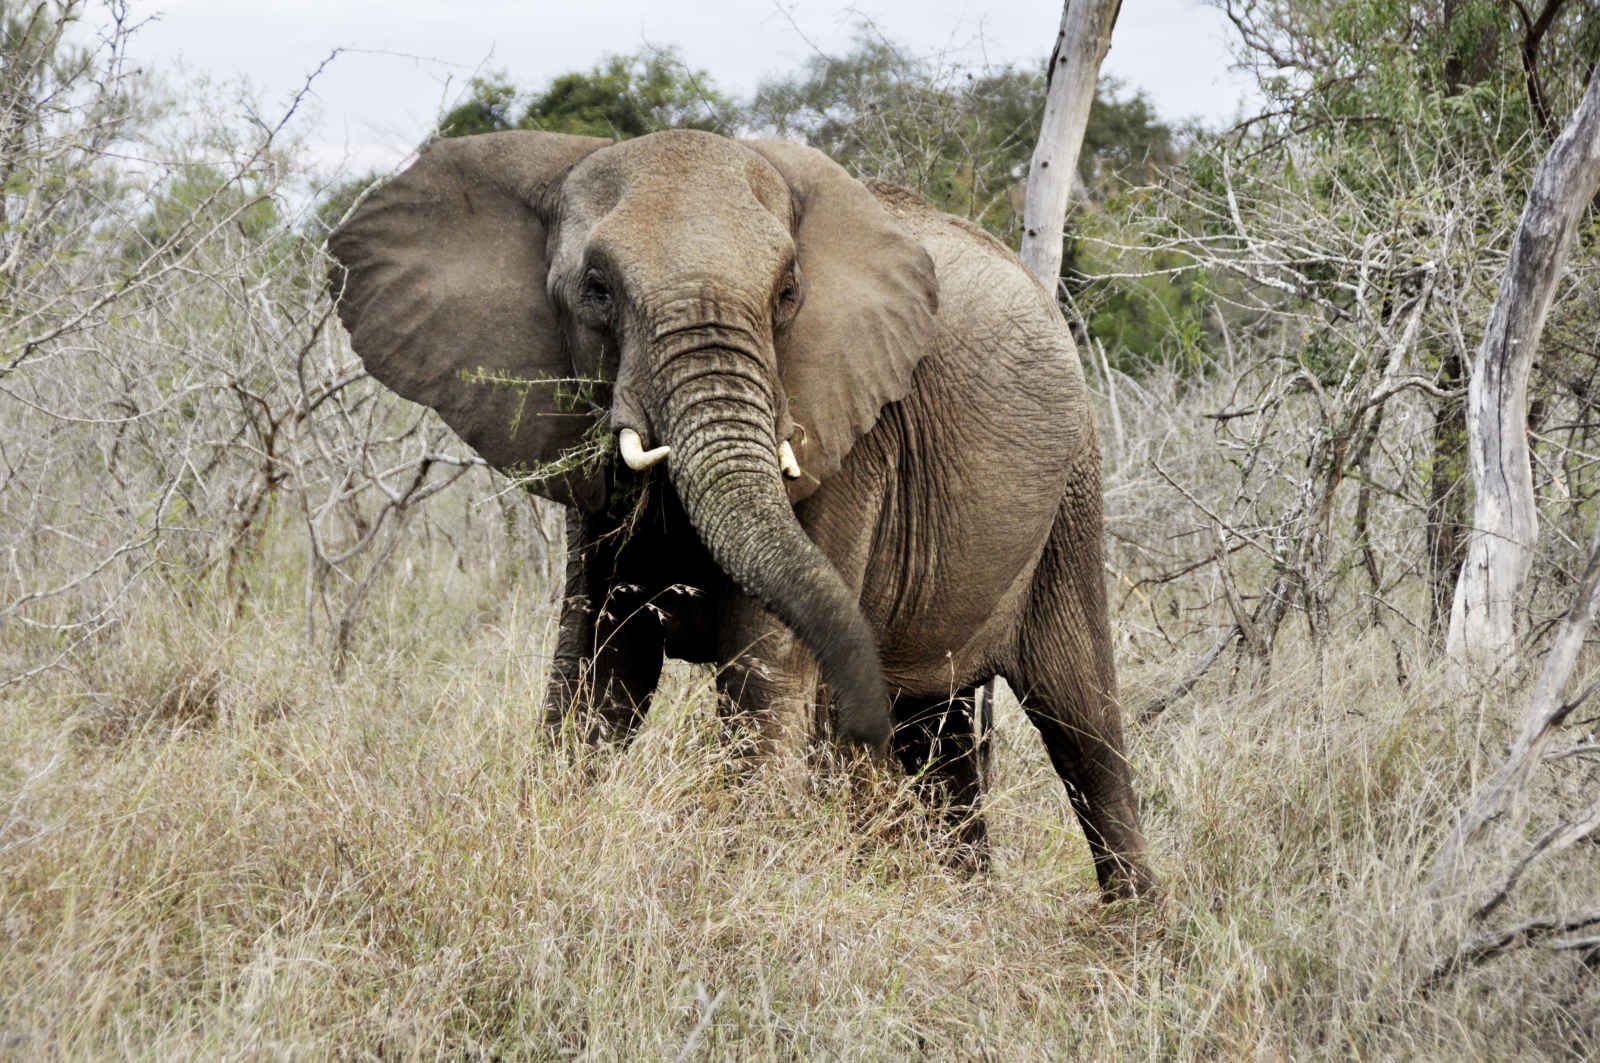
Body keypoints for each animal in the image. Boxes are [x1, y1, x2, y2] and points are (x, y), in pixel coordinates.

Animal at [328, 128, 1152, 902]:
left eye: (787, 293)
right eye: (597, 289)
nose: (862, 728)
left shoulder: (853, 442)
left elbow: (764, 668)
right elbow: (598, 668)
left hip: (1073, 482)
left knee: (1080, 719)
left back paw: (1128, 935)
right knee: (941, 729)